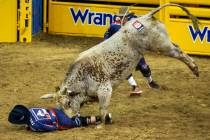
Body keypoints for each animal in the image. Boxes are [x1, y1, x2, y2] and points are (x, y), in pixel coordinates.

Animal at [41, 3, 200, 123]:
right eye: (59, 108)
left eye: (68, 102)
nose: (71, 118)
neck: (82, 76)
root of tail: (146, 16)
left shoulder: (105, 89)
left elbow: (103, 108)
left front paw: (102, 122)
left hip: (160, 45)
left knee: (178, 52)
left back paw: (194, 68)